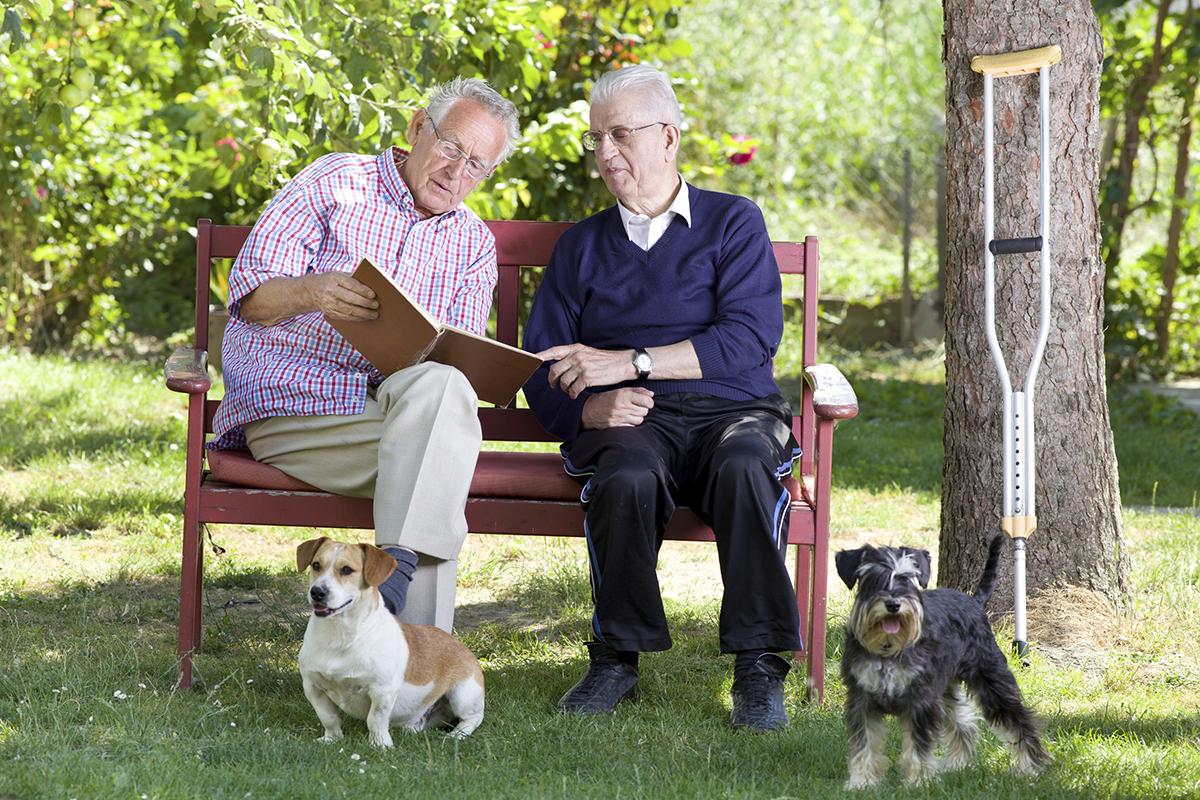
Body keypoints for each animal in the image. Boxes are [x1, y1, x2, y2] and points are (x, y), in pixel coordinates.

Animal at [295, 534, 482, 748]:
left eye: (346, 570)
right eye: (316, 565)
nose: (317, 592)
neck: (339, 636)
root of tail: (464, 648)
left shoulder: (382, 691)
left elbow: (375, 720)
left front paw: (380, 745)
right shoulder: (312, 687)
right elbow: (328, 717)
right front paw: (331, 739)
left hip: (463, 695)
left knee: (473, 718)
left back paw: (456, 735)